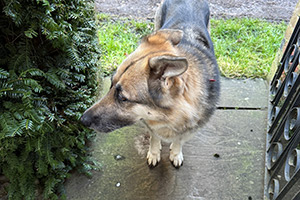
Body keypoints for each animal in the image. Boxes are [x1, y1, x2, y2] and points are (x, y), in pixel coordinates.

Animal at [81, 0, 219, 168]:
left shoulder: (188, 130)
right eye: (111, 85)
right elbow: (154, 136)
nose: (82, 120)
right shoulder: (151, 123)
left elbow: (178, 140)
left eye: (123, 98)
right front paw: (154, 153)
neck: (170, 114)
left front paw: (175, 153)